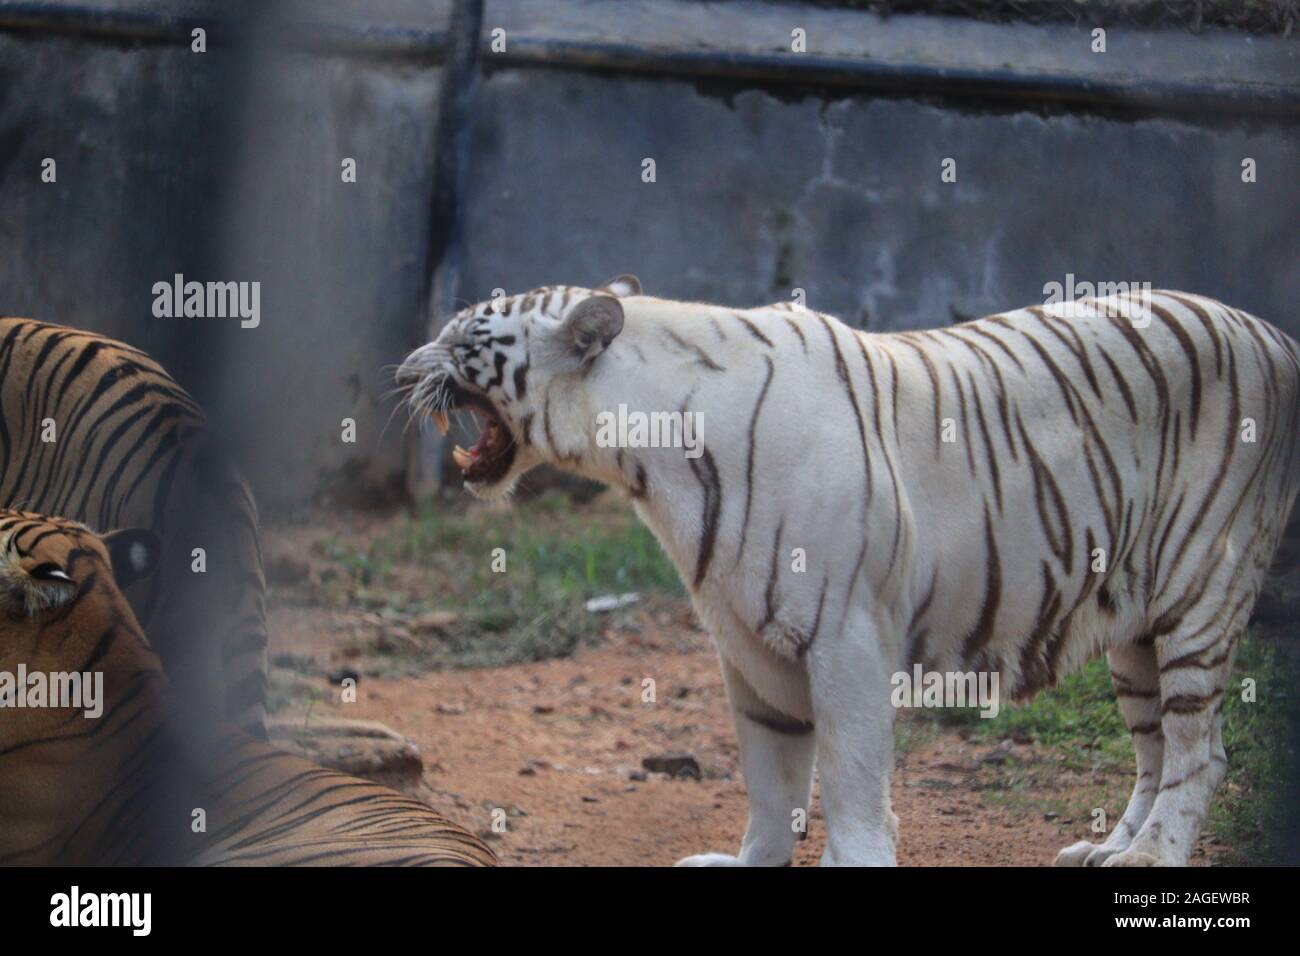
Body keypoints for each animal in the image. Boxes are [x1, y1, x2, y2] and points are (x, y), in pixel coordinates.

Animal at [395, 277, 1300, 868]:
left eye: (463, 339)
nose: (403, 372)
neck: (648, 456)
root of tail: (1273, 333)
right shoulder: (747, 645)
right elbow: (770, 780)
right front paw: (748, 862)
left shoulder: (847, 638)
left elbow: (851, 780)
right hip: (1134, 625)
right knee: (1155, 748)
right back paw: (1110, 848)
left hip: (1200, 594)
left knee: (1201, 751)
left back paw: (1154, 857)